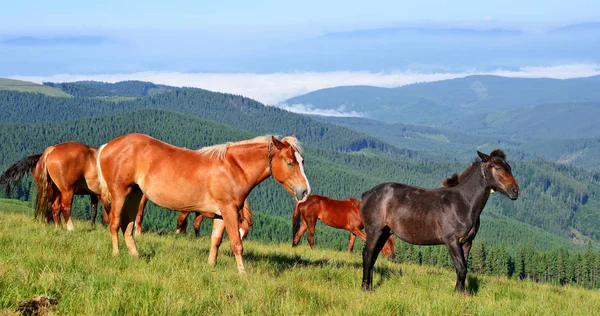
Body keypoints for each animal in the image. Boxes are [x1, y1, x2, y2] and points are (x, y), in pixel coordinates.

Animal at [96, 132, 312, 272]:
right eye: (290, 163)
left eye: (302, 161)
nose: (305, 191)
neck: (234, 167)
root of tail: (107, 146)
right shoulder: (229, 211)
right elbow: (236, 244)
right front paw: (242, 273)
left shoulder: (220, 214)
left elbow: (215, 241)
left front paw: (211, 265)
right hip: (120, 193)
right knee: (115, 224)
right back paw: (116, 254)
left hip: (134, 194)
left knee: (128, 227)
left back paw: (136, 255)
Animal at [360, 149, 520, 292]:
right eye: (497, 167)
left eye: (509, 167)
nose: (515, 190)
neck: (462, 202)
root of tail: (368, 193)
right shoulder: (452, 241)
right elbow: (461, 268)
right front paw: (457, 293)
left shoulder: (467, 242)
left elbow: (464, 268)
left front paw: (462, 293)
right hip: (374, 230)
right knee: (368, 256)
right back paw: (365, 288)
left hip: (385, 233)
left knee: (373, 256)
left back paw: (369, 286)